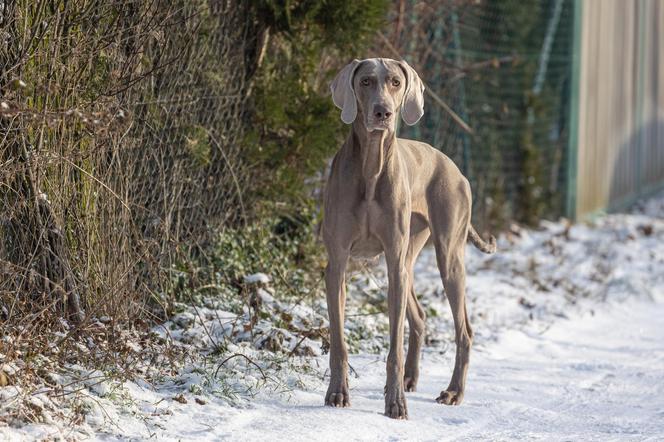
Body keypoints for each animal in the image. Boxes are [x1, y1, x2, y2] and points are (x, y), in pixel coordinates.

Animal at [320, 57, 496, 418]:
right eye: (366, 81)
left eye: (396, 82)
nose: (383, 112)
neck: (371, 167)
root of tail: (455, 168)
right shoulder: (338, 264)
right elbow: (339, 342)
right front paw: (338, 393)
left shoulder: (393, 261)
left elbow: (393, 349)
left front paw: (395, 403)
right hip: (410, 257)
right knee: (420, 316)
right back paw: (412, 379)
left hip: (446, 256)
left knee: (464, 330)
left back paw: (453, 391)